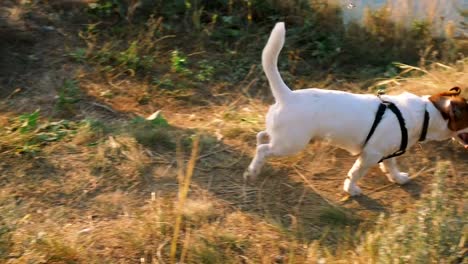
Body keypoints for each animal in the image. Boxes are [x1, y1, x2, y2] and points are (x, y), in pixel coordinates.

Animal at [243, 23, 468, 196]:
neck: (426, 114)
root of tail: (287, 94)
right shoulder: (370, 154)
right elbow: (355, 173)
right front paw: (351, 189)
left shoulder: (388, 153)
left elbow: (391, 166)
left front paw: (398, 178)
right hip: (290, 144)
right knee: (264, 149)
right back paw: (252, 171)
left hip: (282, 137)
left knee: (261, 136)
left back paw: (257, 161)